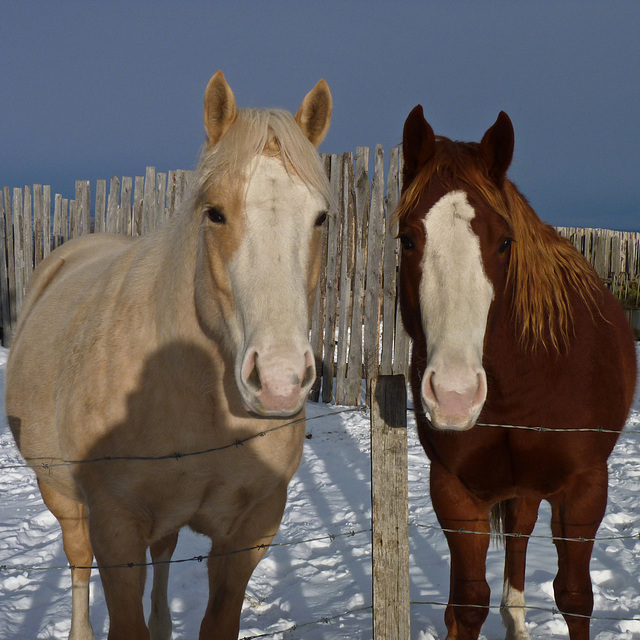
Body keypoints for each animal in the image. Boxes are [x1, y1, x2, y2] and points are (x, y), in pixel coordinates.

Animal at [5, 71, 332, 640]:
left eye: (319, 218)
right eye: (215, 213)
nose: (279, 380)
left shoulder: (250, 532)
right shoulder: (115, 529)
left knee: (164, 554)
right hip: (62, 498)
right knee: (77, 561)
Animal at [398, 106, 636, 640]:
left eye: (504, 242)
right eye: (406, 240)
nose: (454, 395)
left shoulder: (585, 490)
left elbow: (575, 598)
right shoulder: (454, 490)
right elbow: (467, 605)